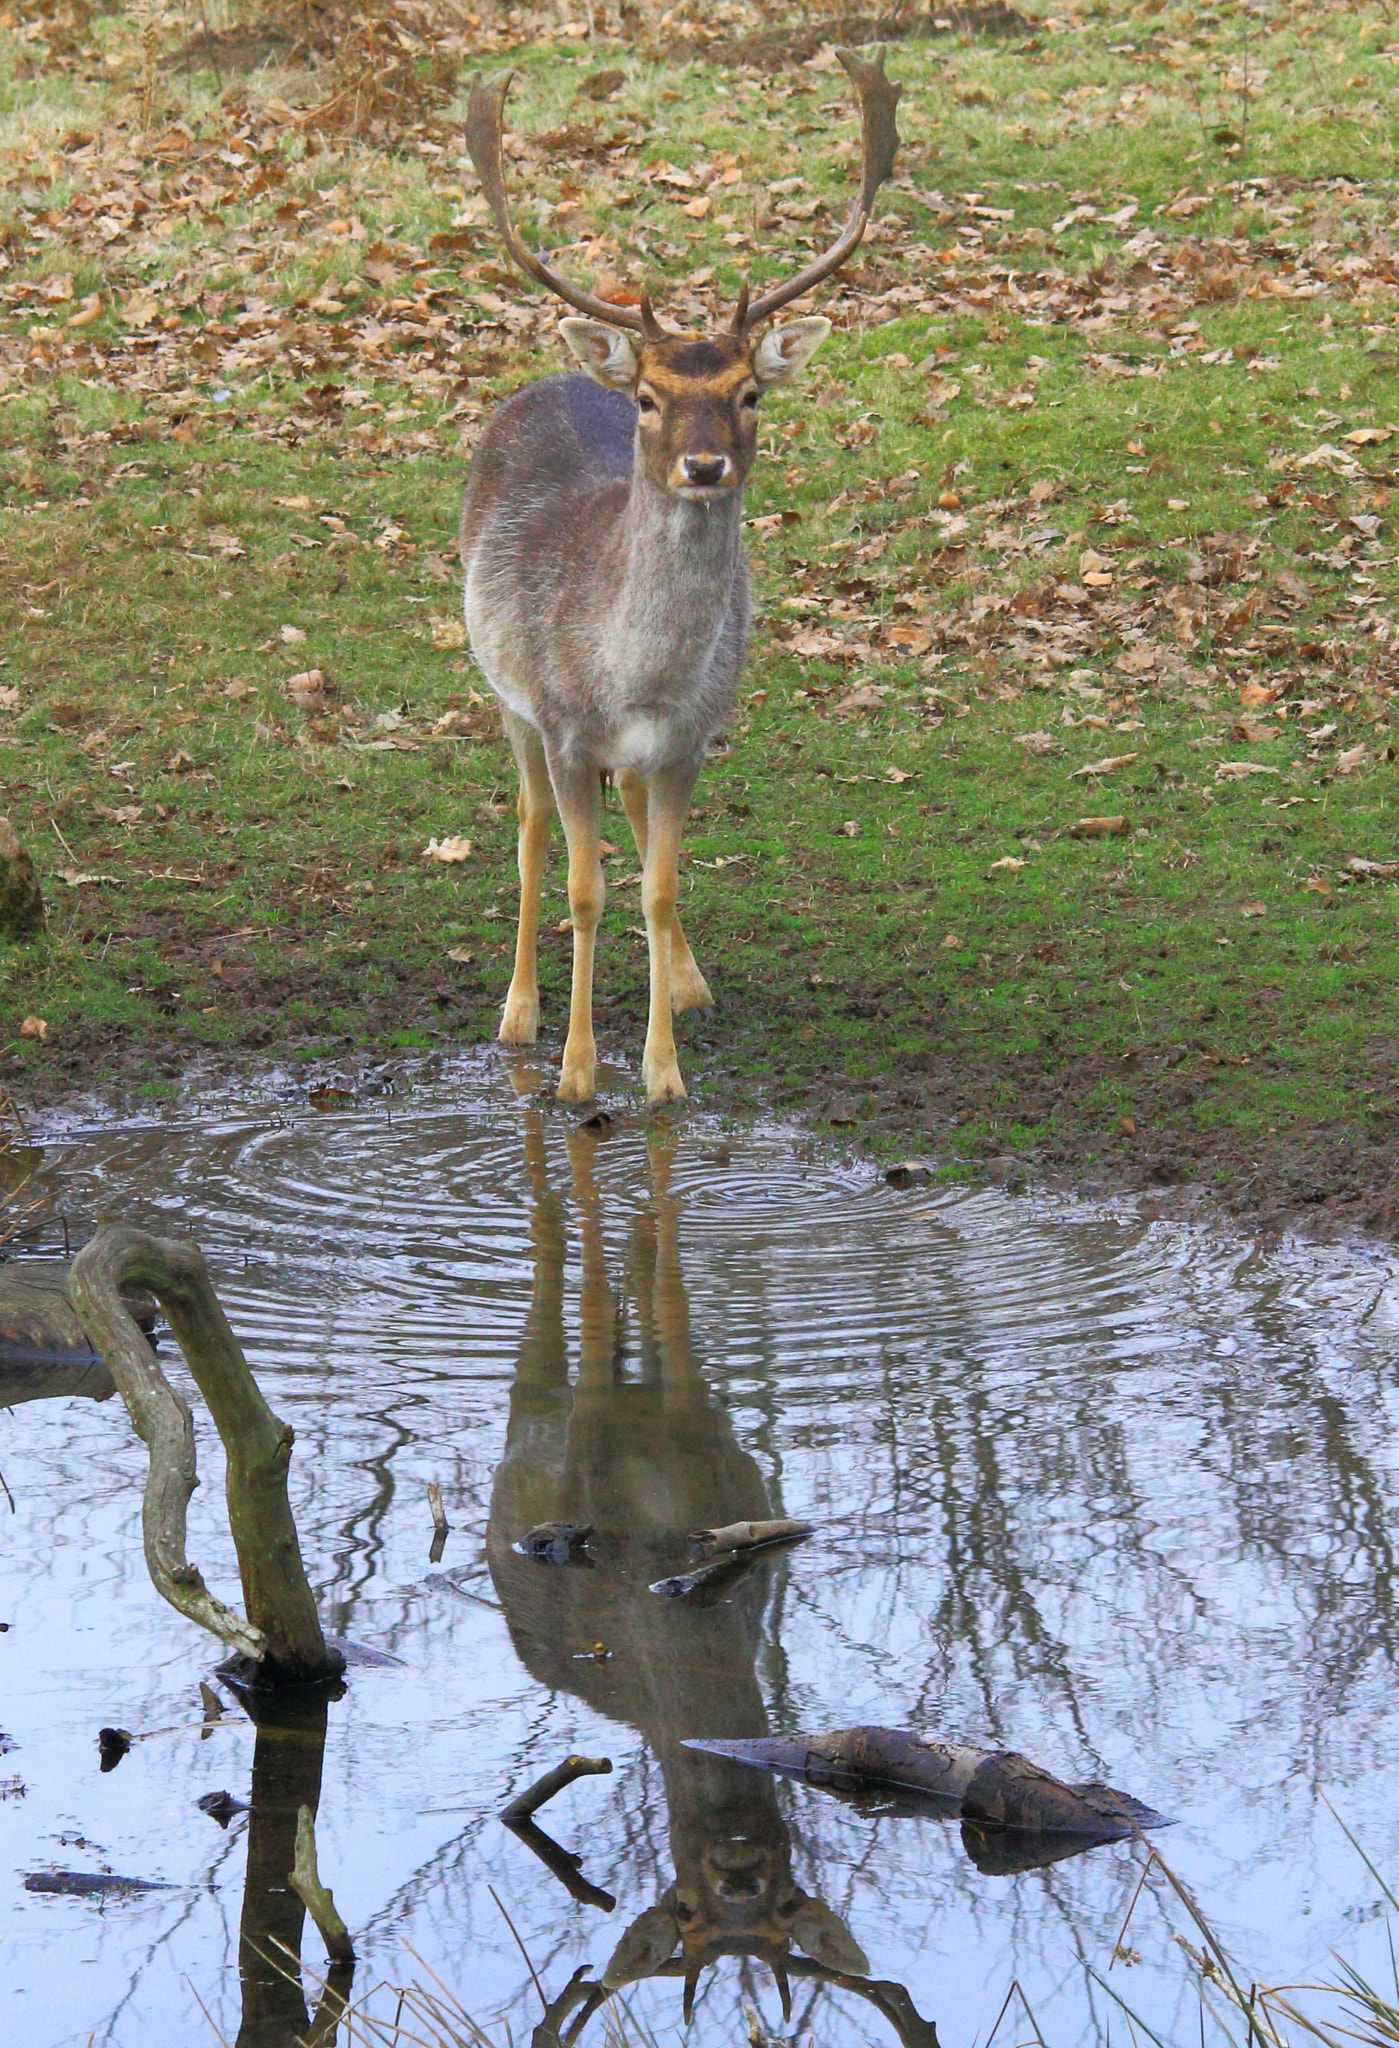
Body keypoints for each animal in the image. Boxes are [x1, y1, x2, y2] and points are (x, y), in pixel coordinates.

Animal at [464, 48, 901, 1105]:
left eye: (748, 393)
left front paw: (664, 1075)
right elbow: (584, 887)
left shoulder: (692, 739)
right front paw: (577, 1073)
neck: (634, 676)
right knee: (529, 828)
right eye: (652, 398)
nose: (704, 467)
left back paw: (691, 982)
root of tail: (558, 375)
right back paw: (517, 1014)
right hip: (504, 695)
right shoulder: (565, 726)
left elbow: (658, 887)